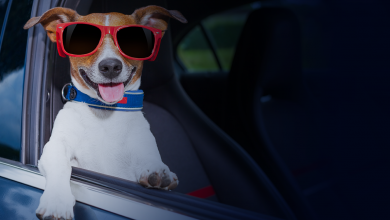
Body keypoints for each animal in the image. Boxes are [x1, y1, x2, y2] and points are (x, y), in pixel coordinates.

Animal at [23, 5, 187, 220]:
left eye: (132, 40)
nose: (110, 66)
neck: (104, 115)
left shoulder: (143, 145)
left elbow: (150, 159)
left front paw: (159, 172)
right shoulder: (56, 145)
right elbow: (60, 166)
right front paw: (57, 201)